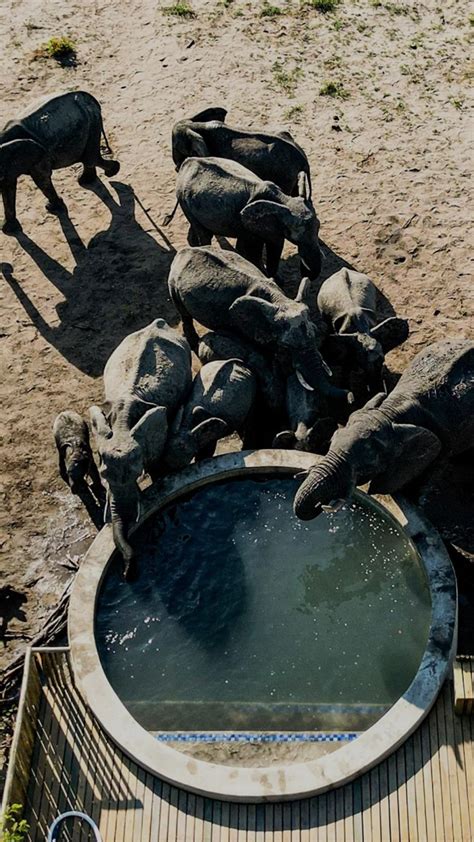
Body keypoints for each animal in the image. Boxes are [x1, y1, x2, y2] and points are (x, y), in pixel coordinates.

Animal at [0, 90, 120, 234]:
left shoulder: (39, 157)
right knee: (89, 157)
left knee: (91, 158)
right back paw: (89, 179)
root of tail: (90, 97)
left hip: (93, 121)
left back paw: (110, 173)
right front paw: (8, 230)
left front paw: (53, 209)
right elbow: (8, 185)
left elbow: (41, 179)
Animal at [168, 246, 352, 416]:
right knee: (184, 313)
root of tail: (184, 250)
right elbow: (254, 352)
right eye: (286, 347)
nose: (351, 397)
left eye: (314, 335)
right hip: (173, 284)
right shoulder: (237, 324)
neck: (279, 300)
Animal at [175, 156, 321, 279]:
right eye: (296, 238)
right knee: (203, 233)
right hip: (183, 199)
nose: (307, 274)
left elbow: (274, 244)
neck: (284, 199)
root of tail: (186, 163)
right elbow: (258, 249)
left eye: (318, 228)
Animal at [293, 339, 474, 520]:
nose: (321, 505)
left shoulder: (445, 437)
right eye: (330, 443)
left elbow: (430, 471)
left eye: (366, 468)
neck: (391, 411)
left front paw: (416, 501)